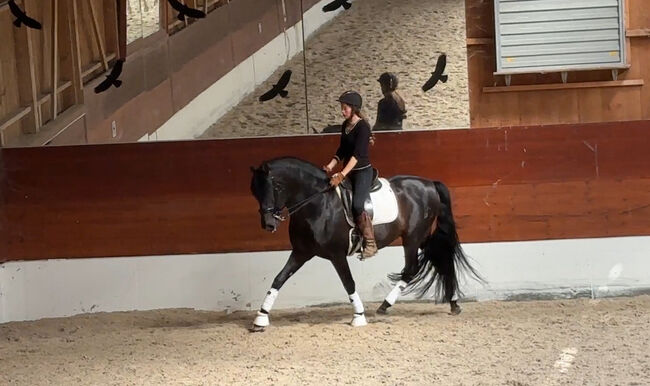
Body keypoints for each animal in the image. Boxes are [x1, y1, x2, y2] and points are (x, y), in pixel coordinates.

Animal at [248, 155, 480, 330]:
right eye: (255, 191)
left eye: (276, 186)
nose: (268, 224)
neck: (318, 205)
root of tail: (430, 183)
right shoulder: (301, 252)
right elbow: (279, 279)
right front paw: (261, 317)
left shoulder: (336, 254)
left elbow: (348, 282)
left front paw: (358, 316)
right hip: (421, 237)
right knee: (441, 259)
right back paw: (452, 304)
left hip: (412, 237)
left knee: (412, 268)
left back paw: (385, 305)